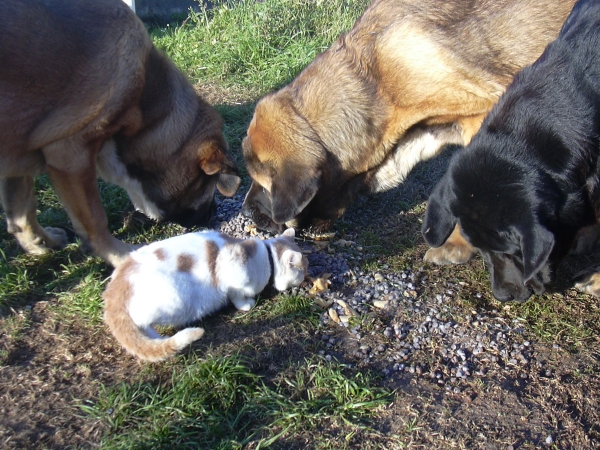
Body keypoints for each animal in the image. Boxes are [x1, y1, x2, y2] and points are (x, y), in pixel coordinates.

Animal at [0, 0, 239, 268]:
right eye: (206, 184)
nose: (210, 219)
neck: (146, 108)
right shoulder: (70, 156)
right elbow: (95, 220)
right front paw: (122, 255)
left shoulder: (19, 153)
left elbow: (21, 211)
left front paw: (39, 243)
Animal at [103, 229, 308, 362]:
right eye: (303, 271)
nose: (307, 278)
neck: (267, 257)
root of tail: (114, 289)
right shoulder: (232, 271)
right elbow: (237, 295)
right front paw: (246, 304)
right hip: (176, 298)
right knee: (143, 323)